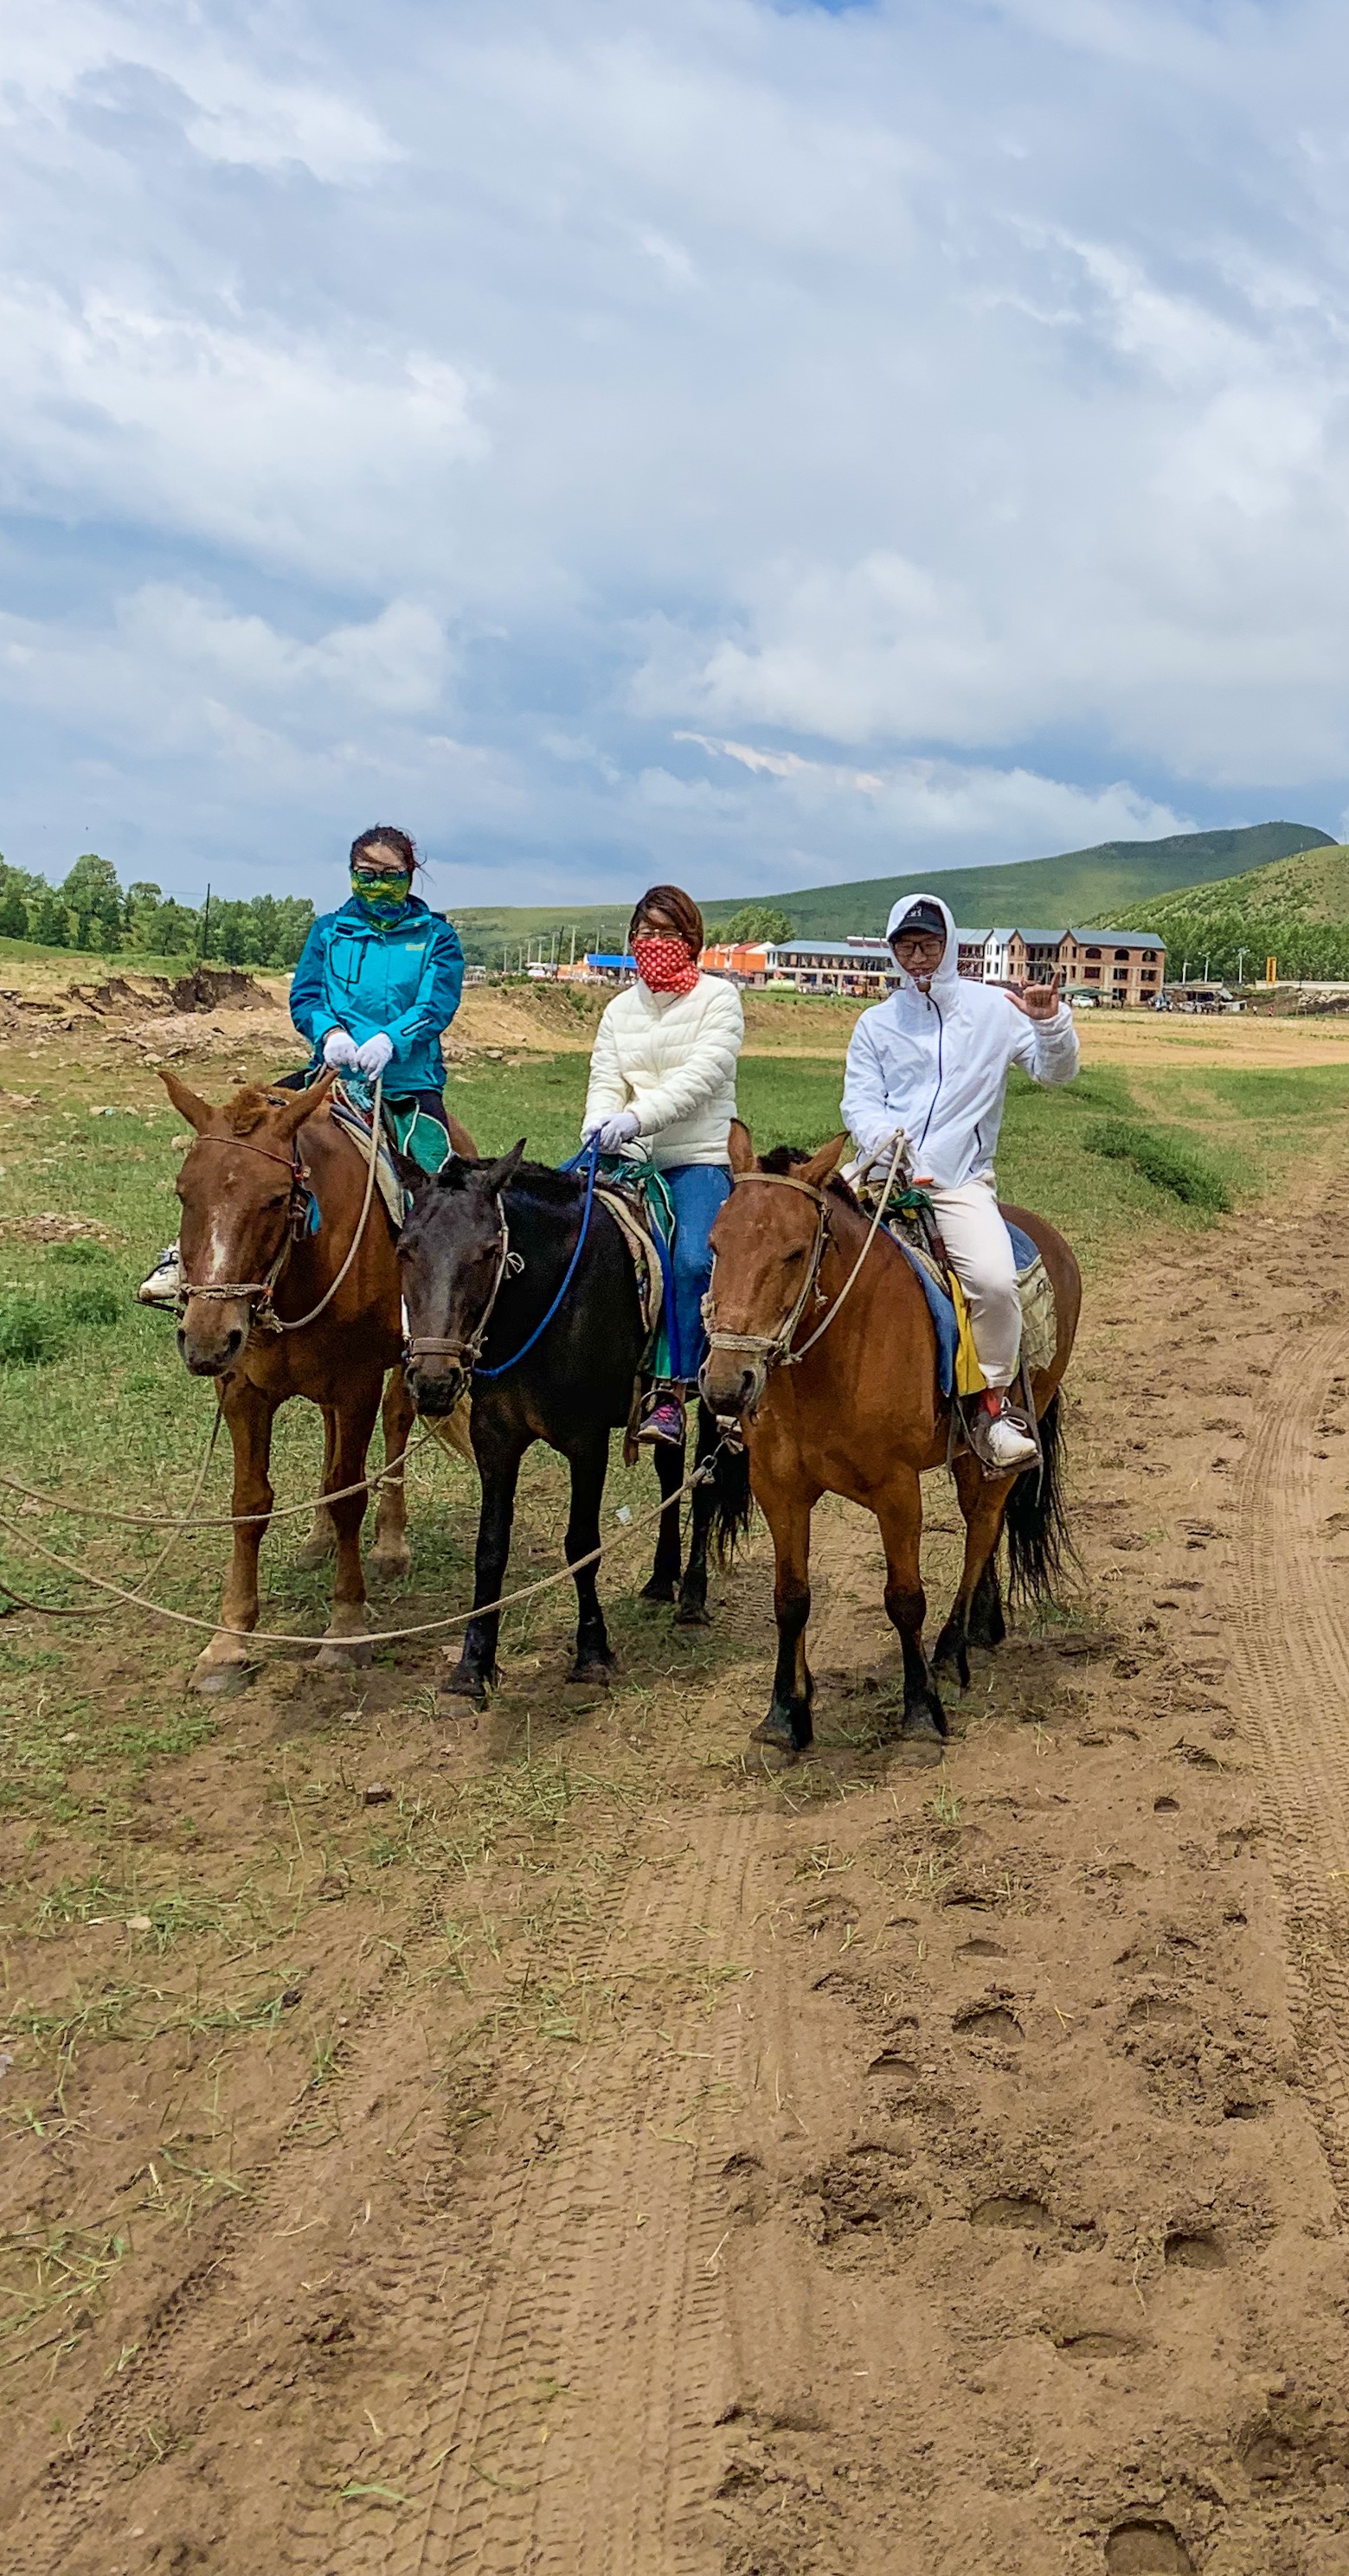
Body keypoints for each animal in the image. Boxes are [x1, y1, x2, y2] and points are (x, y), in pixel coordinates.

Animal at [162, 1066, 473, 1689]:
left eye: (277, 1199)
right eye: (185, 1193)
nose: (206, 1340)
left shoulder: (357, 1383)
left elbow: (349, 1491)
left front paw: (345, 1628)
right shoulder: (242, 1391)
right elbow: (249, 1501)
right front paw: (228, 1641)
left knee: (396, 1424)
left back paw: (390, 1543)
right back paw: (319, 1538)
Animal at [399, 1149, 746, 1710]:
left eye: (489, 1252)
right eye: (405, 1249)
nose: (433, 1380)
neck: (545, 1303)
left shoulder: (587, 1444)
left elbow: (582, 1544)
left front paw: (592, 1652)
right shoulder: (494, 1440)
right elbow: (490, 1549)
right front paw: (473, 1667)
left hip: (721, 1395)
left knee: (704, 1486)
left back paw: (692, 1599)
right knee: (670, 1472)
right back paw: (661, 1579)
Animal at [700, 1138, 1081, 1761]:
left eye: (794, 1253)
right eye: (715, 1244)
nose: (728, 1386)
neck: (832, 1355)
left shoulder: (896, 1489)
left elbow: (904, 1598)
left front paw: (921, 1713)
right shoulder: (778, 1488)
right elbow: (790, 1599)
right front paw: (784, 1715)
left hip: (997, 1445)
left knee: (982, 1526)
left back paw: (951, 1650)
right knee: (989, 1524)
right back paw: (983, 1624)